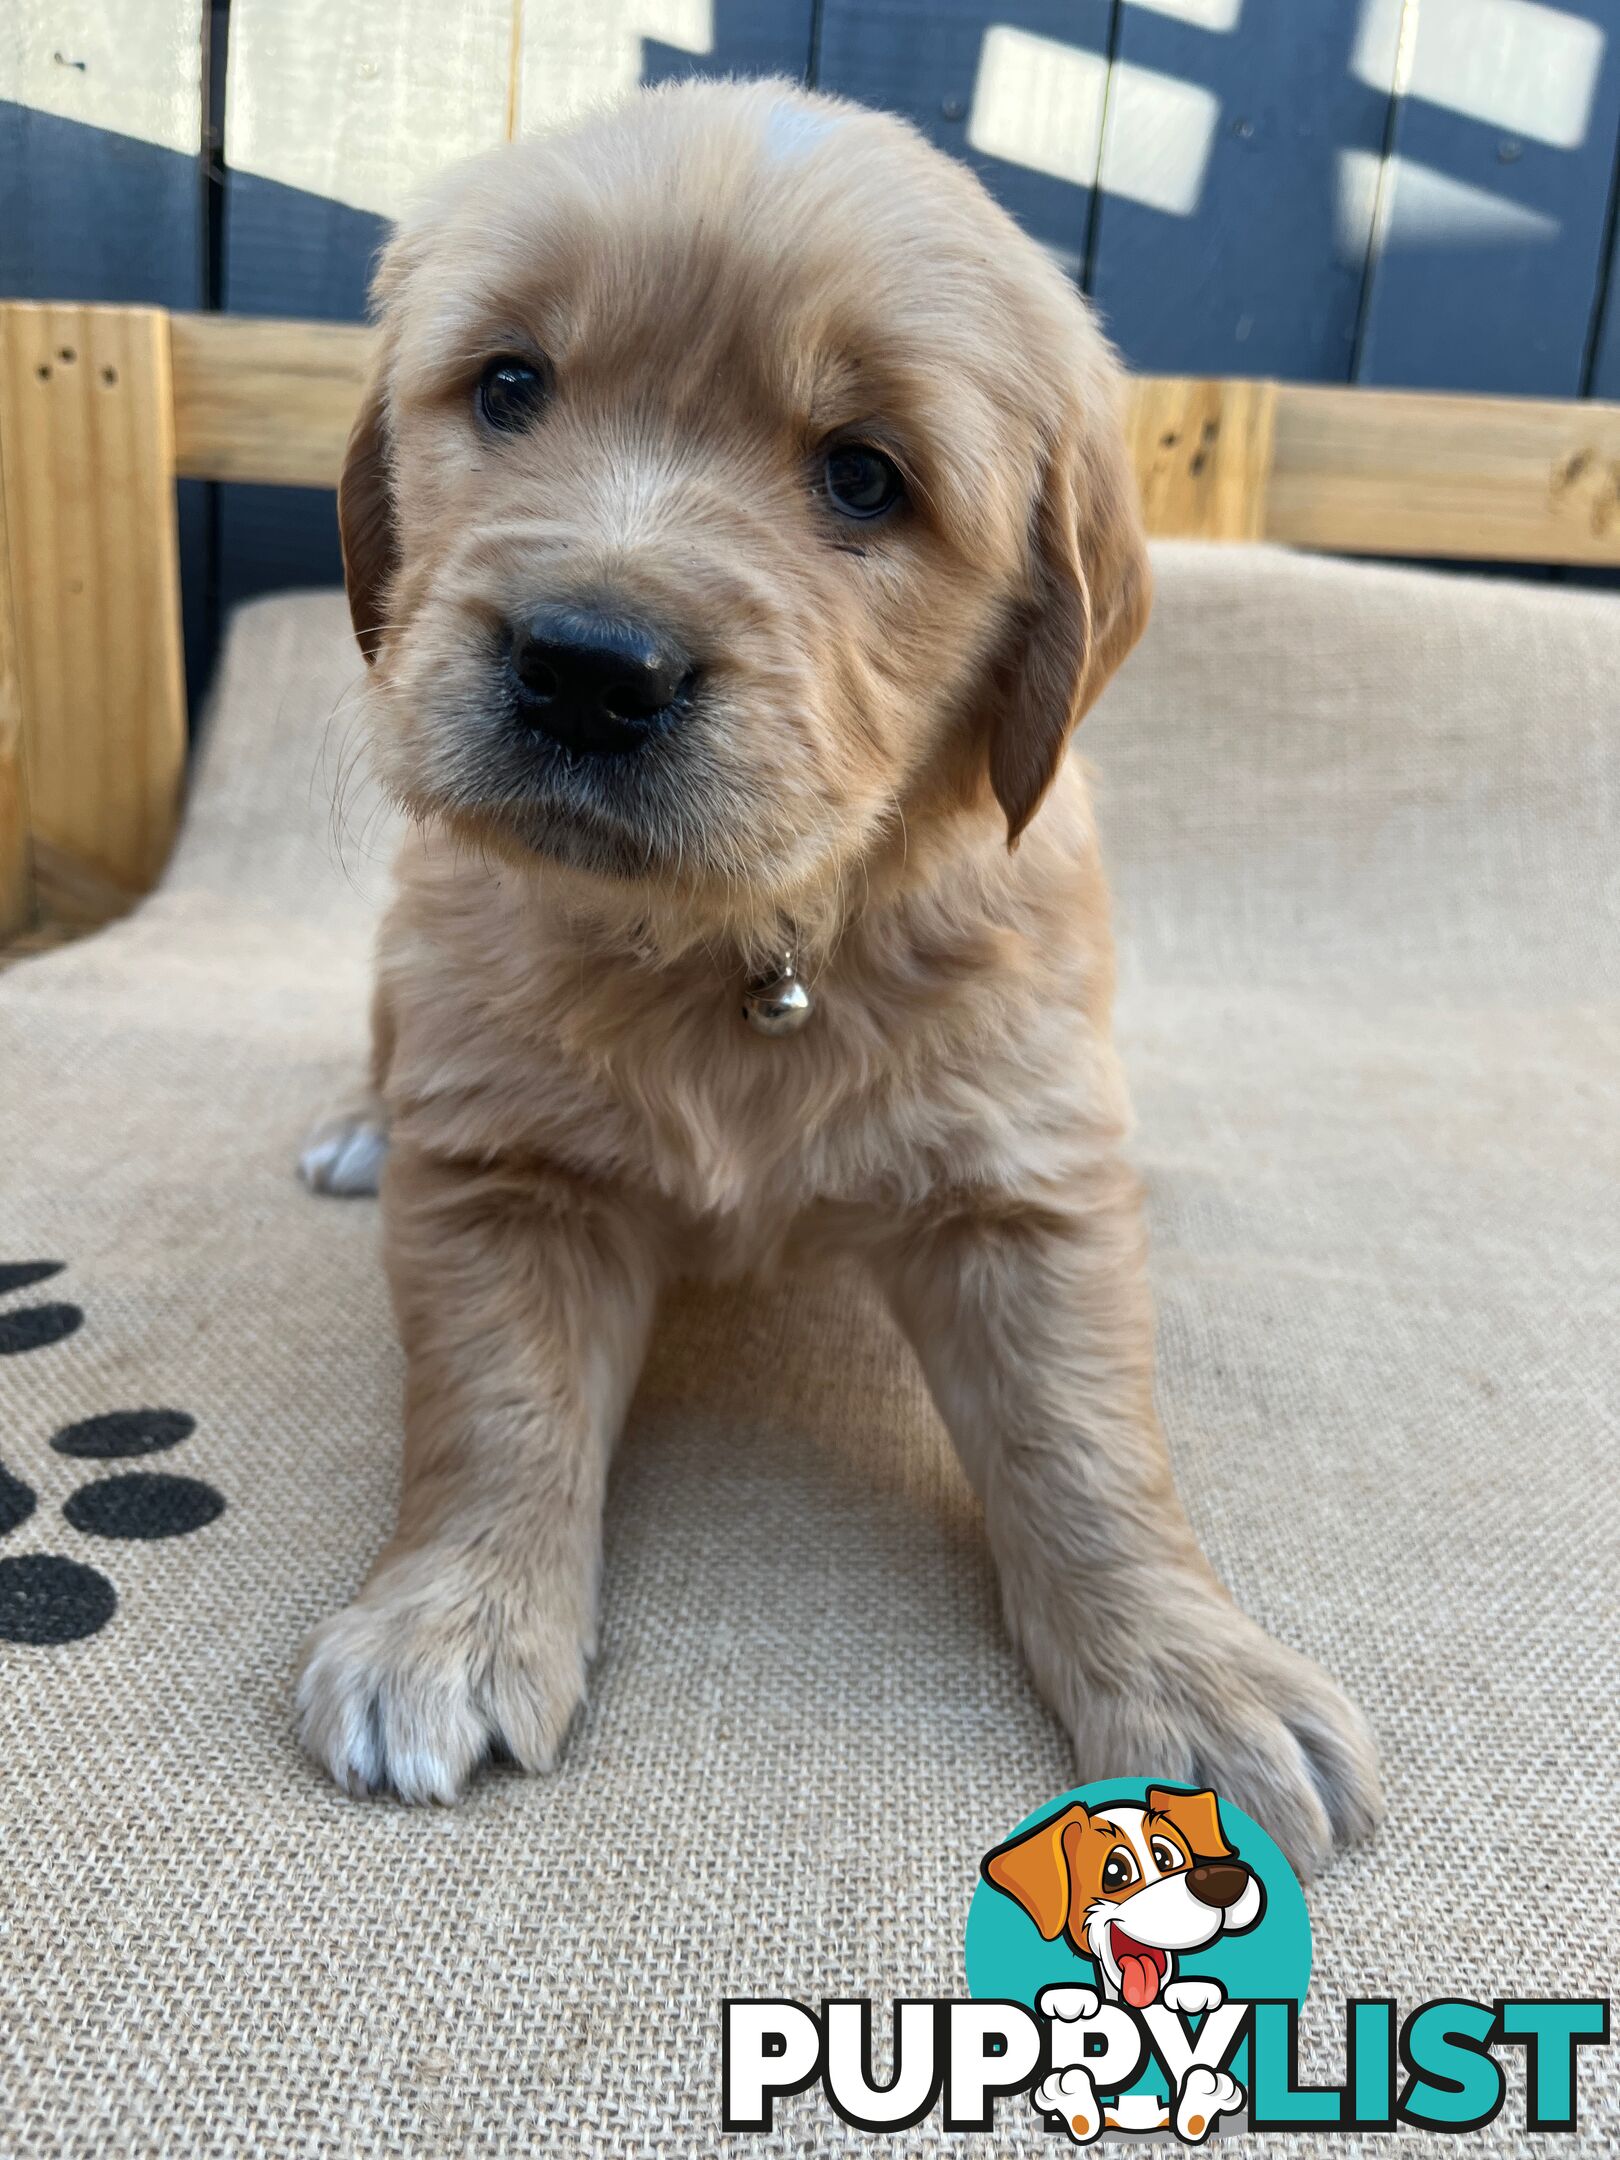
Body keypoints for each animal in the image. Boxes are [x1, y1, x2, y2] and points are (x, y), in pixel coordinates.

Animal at [295, 79, 1382, 1874]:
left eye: (865, 478)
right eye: (510, 386)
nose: (587, 667)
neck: (757, 943)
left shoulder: (1022, 1192)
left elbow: (1089, 1450)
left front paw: (1195, 1675)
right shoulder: (504, 1169)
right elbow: (497, 1409)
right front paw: (448, 1625)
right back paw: (357, 1129)